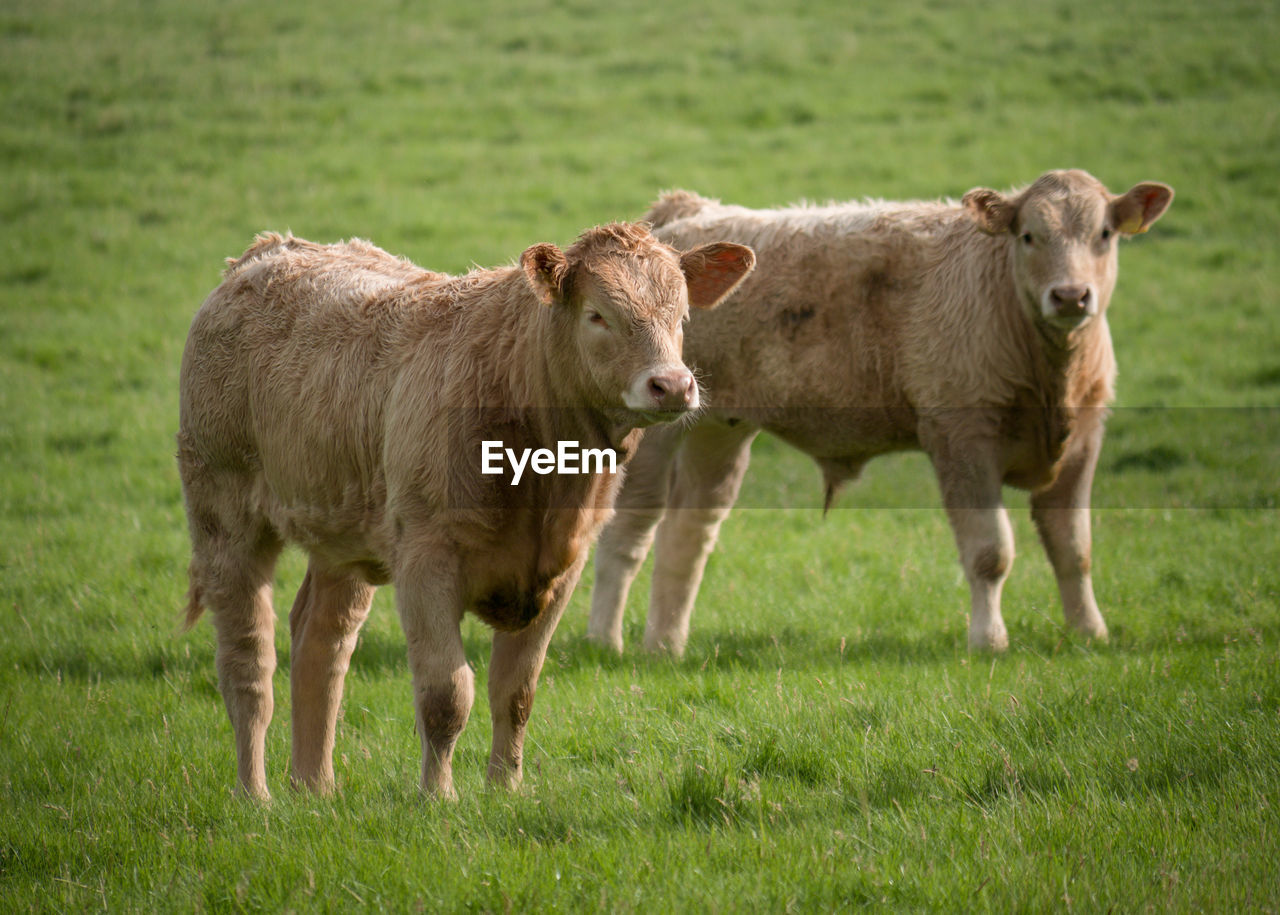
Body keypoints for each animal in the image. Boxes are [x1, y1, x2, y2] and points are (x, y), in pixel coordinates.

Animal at [176, 225, 752, 798]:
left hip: (344, 533)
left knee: (322, 641)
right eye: (597, 315)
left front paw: (505, 790)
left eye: (682, 316)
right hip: (223, 515)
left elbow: (515, 692)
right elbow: (446, 694)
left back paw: (315, 788)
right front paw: (438, 796)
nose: (672, 385)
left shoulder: (563, 568)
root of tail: (268, 250)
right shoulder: (426, 559)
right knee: (248, 663)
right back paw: (256, 795)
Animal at [586, 170, 1172, 660]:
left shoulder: (1084, 441)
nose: (1071, 296)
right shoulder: (962, 440)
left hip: (718, 429)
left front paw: (1090, 633)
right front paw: (989, 641)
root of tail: (687, 212)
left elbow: (1074, 548)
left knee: (687, 534)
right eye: (1029, 236)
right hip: (655, 437)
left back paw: (665, 646)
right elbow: (990, 551)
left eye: (1104, 234)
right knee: (626, 534)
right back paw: (605, 642)